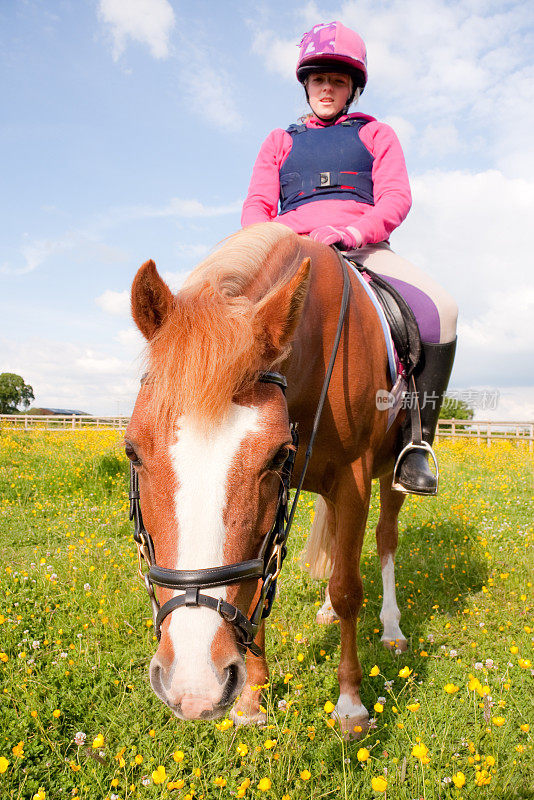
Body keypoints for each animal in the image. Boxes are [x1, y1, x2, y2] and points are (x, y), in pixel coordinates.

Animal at [127, 222, 408, 740]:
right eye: (132, 451)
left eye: (277, 454)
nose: (194, 686)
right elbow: (260, 588)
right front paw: (253, 700)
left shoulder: (354, 480)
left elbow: (348, 588)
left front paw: (350, 705)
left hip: (392, 480)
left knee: (384, 540)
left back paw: (393, 628)